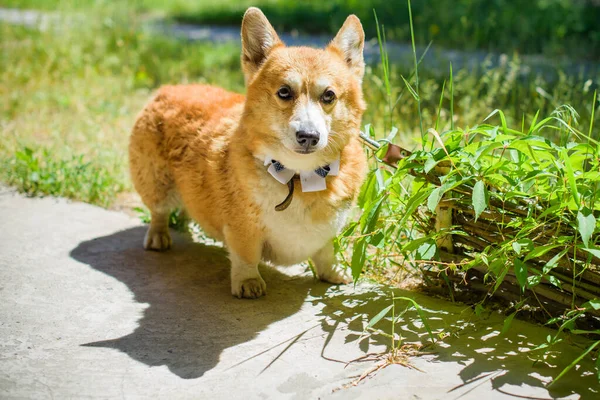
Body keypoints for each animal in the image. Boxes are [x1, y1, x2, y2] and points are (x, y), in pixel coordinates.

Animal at [129, 7, 368, 298]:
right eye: (284, 92)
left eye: (329, 96)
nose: (309, 136)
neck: (300, 176)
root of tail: (169, 88)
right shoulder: (242, 227)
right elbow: (246, 256)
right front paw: (248, 282)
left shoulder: (327, 234)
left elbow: (326, 253)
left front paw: (332, 274)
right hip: (157, 183)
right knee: (158, 212)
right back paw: (158, 237)